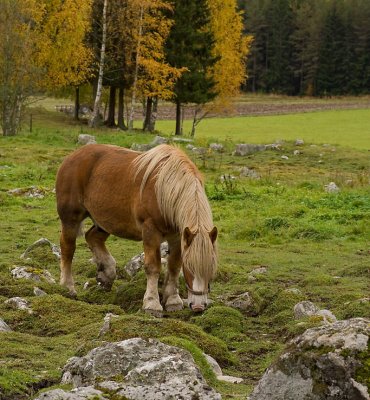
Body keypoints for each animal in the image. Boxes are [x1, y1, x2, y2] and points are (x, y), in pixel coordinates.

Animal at [55, 142, 217, 314]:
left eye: (211, 269)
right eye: (190, 267)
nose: (198, 306)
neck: (164, 191)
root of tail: (72, 156)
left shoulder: (178, 236)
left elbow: (174, 267)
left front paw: (173, 301)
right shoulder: (151, 231)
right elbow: (153, 267)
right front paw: (152, 303)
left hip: (105, 221)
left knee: (93, 237)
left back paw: (106, 273)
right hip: (71, 218)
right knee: (68, 248)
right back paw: (68, 287)